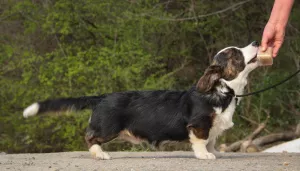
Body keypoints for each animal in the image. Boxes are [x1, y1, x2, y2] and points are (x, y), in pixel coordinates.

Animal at [22, 41, 258, 159]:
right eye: (235, 53)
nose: (256, 42)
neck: (225, 89)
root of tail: (102, 97)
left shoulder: (213, 128)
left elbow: (212, 140)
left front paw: (214, 152)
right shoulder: (199, 125)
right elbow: (201, 141)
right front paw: (205, 156)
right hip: (108, 128)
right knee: (90, 137)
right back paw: (101, 154)